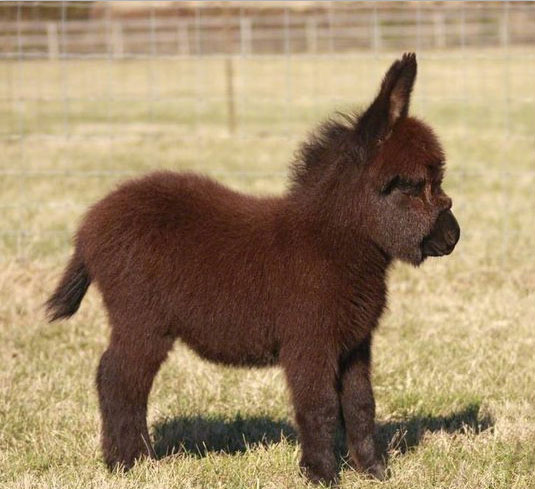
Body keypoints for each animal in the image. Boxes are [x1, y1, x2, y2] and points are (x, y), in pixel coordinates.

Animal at [47, 54, 460, 484]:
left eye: (436, 180)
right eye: (410, 186)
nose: (453, 237)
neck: (332, 243)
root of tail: (91, 223)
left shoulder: (354, 342)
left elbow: (361, 406)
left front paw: (374, 471)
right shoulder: (309, 342)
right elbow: (320, 407)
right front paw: (322, 475)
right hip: (141, 320)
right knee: (118, 380)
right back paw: (128, 462)